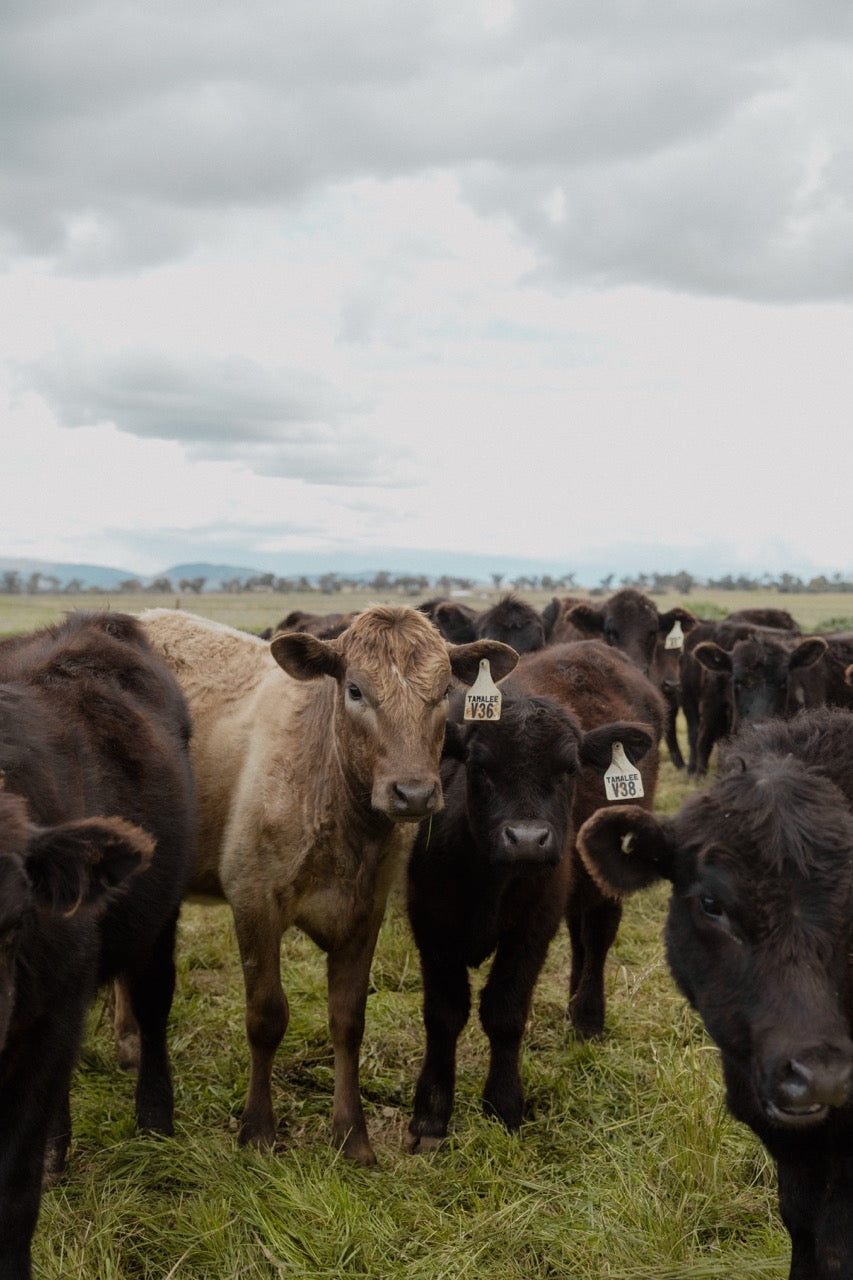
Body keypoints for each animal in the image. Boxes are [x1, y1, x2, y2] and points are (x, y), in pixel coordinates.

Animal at [0, 612, 195, 1279]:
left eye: (13, 919)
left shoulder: (41, 1031)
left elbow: (14, 1194)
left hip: (157, 925)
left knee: (154, 1008)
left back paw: (156, 1121)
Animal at [136, 605, 518, 1166]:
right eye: (355, 690)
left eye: (445, 690)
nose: (414, 793)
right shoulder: (253, 897)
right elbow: (266, 1016)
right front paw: (258, 1131)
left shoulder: (367, 911)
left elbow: (348, 1020)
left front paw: (351, 1136)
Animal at [406, 683, 655, 1150]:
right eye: (480, 765)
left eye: (570, 769)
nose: (526, 840)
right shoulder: (431, 924)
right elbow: (443, 1015)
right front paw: (430, 1116)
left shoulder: (533, 927)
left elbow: (505, 1014)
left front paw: (503, 1107)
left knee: (597, 938)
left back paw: (587, 1018)